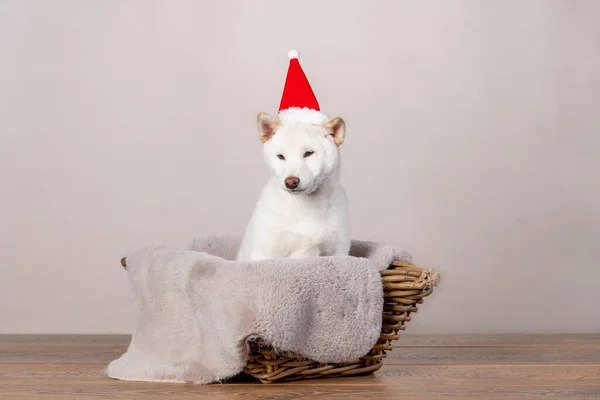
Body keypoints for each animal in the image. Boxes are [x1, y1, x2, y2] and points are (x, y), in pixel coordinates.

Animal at [237, 108, 352, 260]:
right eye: (281, 156)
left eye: (309, 153)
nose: (291, 182)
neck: (306, 208)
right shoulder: (264, 253)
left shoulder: (338, 251)